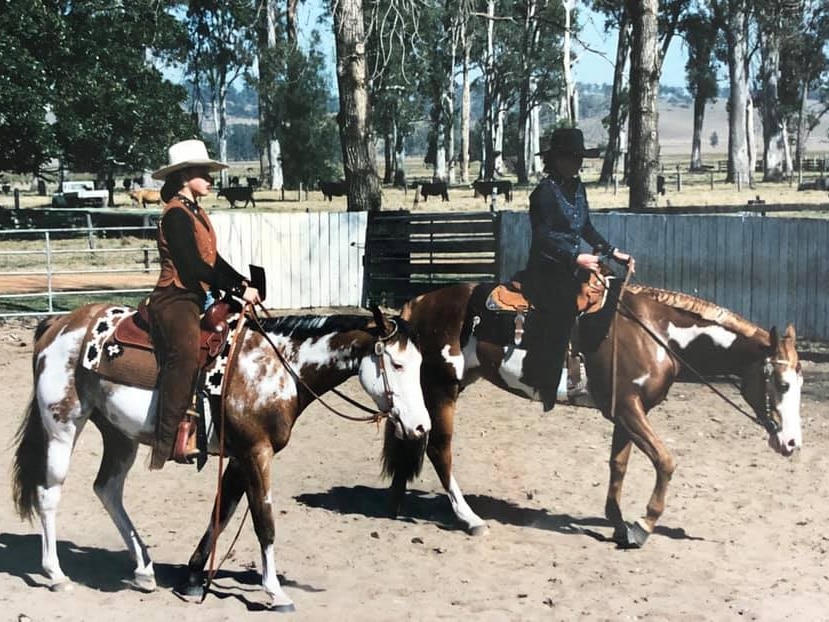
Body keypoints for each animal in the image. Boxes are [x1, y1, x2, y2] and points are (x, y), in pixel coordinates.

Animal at [12, 304, 430, 612]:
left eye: (420, 366)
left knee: (107, 489)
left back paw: (145, 570)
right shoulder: (256, 452)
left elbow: (222, 513)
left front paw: (194, 579)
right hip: (63, 424)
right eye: (396, 365)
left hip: (118, 434)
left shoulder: (239, 456)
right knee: (49, 493)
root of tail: (60, 323)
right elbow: (264, 522)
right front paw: (276, 592)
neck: (276, 366)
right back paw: (56, 574)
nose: (421, 427)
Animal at [386, 282, 804, 552]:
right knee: (439, 449)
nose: (792, 443)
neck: (656, 334)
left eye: (801, 381)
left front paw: (619, 525)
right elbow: (665, 461)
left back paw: (397, 500)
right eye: (782, 383)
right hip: (442, 387)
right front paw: (642, 526)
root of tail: (418, 303)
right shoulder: (629, 409)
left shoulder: (627, 412)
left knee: (410, 434)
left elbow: (618, 465)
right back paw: (469, 519)